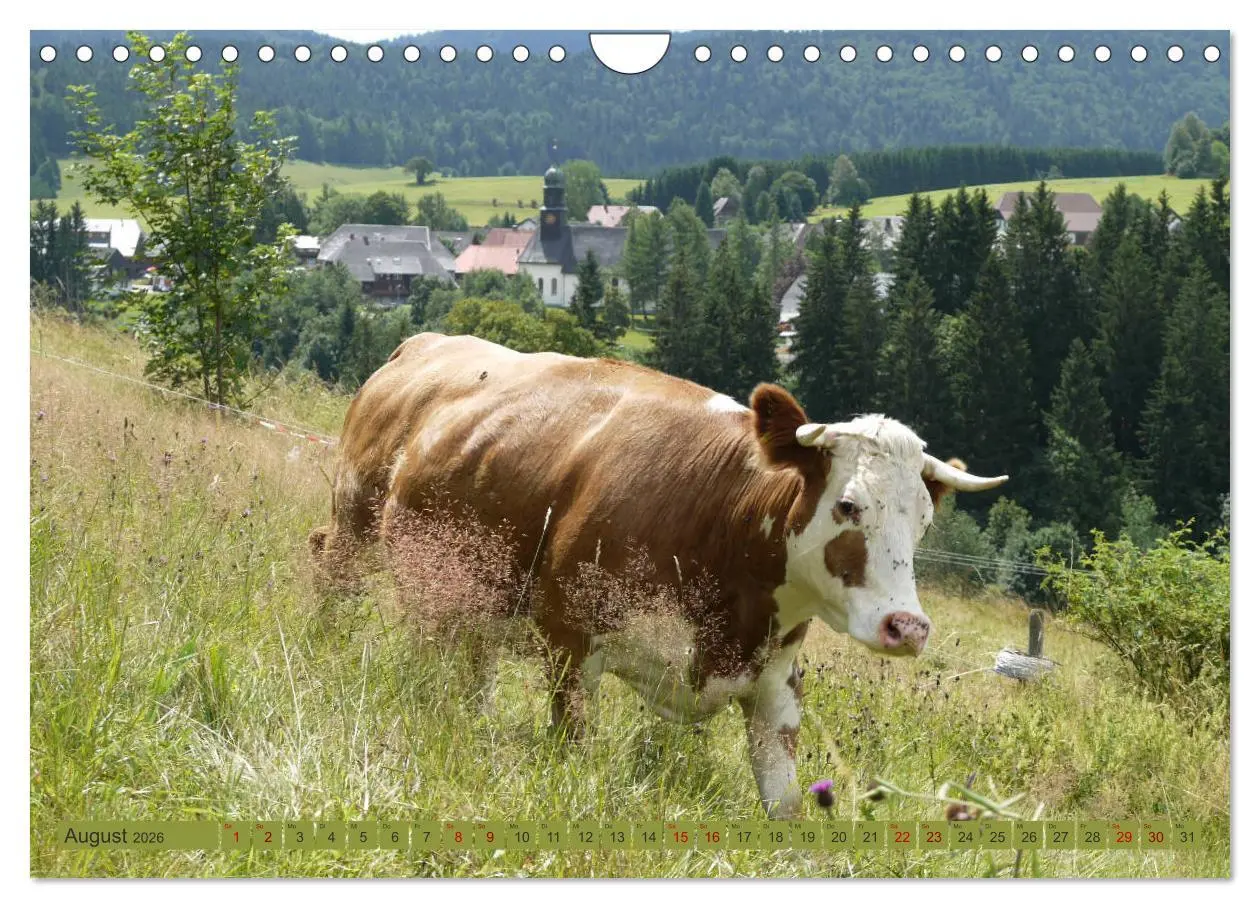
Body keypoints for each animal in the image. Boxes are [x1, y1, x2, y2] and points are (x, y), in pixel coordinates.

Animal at [310, 332, 1008, 818]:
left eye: (923, 523)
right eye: (848, 505)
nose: (907, 627)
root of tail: (422, 345)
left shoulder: (776, 683)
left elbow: (786, 804)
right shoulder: (570, 639)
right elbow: (572, 750)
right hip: (354, 520)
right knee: (332, 571)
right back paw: (332, 641)